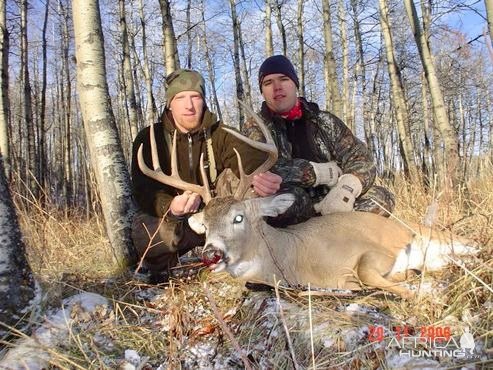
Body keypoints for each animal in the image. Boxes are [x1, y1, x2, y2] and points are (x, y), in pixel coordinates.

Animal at [137, 102, 476, 300]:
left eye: (238, 217)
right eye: (205, 225)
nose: (211, 254)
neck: (291, 258)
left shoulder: (369, 253)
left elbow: (367, 272)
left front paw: (421, 290)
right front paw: (413, 277)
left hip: (436, 234)